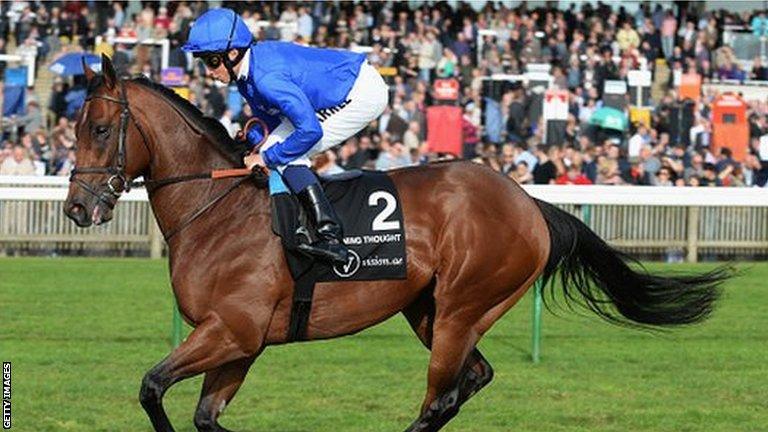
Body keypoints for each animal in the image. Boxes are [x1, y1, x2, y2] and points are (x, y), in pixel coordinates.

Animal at [63, 55, 728, 430]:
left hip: (462, 307)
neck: (217, 210)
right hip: (429, 311)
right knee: (471, 382)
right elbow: (205, 417)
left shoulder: (232, 330)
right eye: (72, 127)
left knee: (440, 397)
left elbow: (152, 388)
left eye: (100, 128)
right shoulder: (239, 343)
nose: (77, 207)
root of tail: (527, 202)